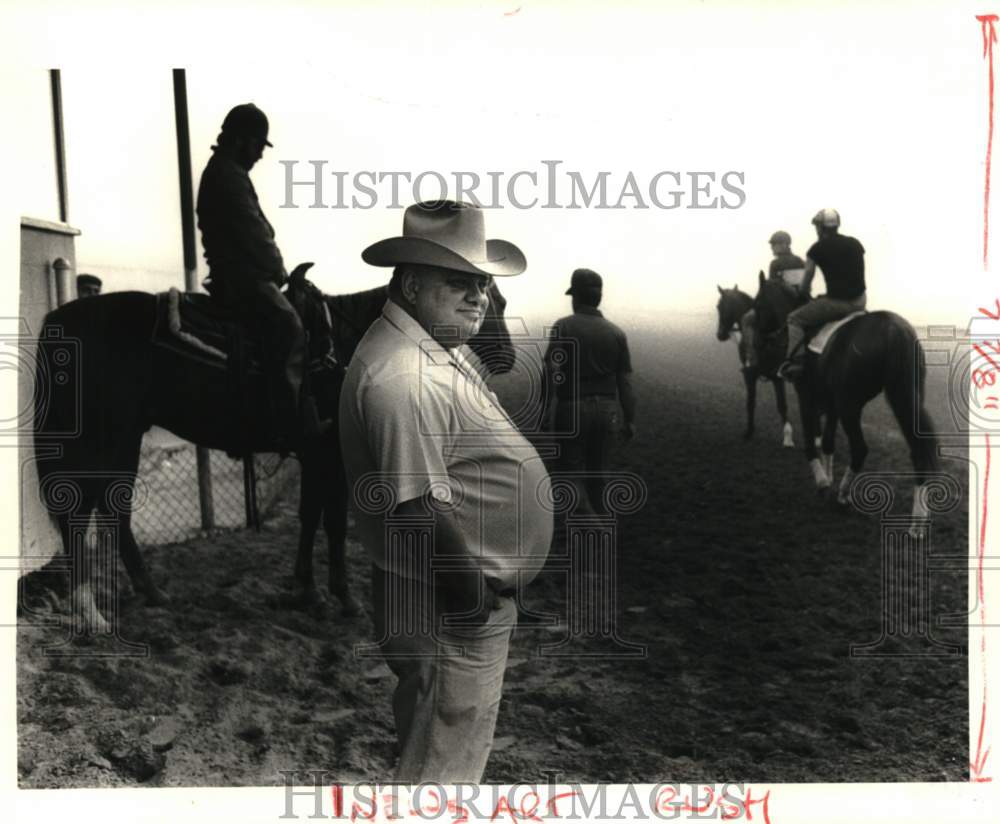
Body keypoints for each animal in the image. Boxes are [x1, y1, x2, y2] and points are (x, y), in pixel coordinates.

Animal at [33, 266, 516, 632]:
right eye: (491, 299)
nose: (507, 358)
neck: (345, 345)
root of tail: (60, 321)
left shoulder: (315, 457)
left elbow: (309, 516)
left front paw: (308, 590)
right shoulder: (329, 455)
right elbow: (331, 522)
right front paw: (341, 596)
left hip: (126, 437)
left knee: (114, 509)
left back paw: (150, 591)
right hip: (102, 438)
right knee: (81, 511)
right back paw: (92, 613)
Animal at [716, 286, 792, 448]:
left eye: (719, 306)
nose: (720, 335)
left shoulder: (766, 376)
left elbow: (779, 405)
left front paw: (788, 438)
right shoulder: (762, 375)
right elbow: (753, 402)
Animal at [756, 276, 936, 520]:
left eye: (758, 303)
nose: (758, 340)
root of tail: (893, 329)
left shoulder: (806, 395)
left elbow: (811, 444)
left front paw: (823, 483)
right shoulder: (831, 404)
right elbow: (828, 442)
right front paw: (828, 478)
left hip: (850, 406)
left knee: (860, 449)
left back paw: (843, 495)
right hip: (905, 399)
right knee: (918, 450)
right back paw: (918, 520)